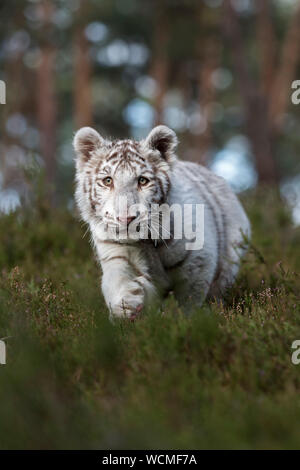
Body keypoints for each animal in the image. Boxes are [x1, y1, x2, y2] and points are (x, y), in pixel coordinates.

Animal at [73, 125, 251, 320]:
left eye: (142, 181)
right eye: (107, 181)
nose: (126, 219)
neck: (145, 242)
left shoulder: (199, 261)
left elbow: (190, 300)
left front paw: (188, 321)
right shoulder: (115, 254)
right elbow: (117, 282)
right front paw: (126, 305)